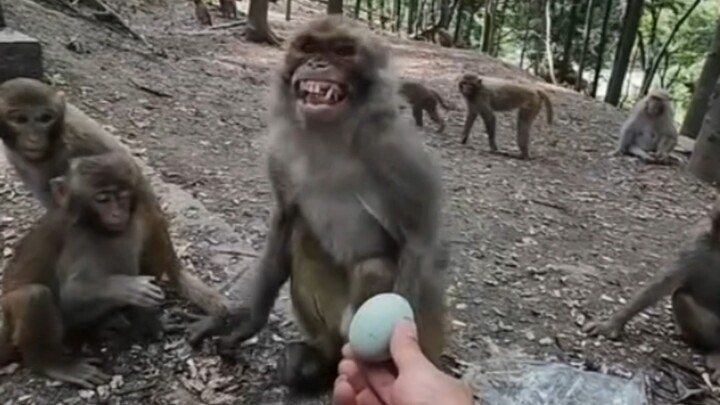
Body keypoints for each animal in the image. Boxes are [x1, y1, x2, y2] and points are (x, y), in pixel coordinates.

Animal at [0, 152, 174, 388]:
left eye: (122, 196)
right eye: (102, 199)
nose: (117, 213)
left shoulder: (141, 217)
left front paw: (146, 319)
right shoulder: (78, 240)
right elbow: (71, 295)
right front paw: (131, 288)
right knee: (34, 295)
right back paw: (53, 364)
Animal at [188, 15, 449, 393]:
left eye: (342, 51)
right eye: (308, 47)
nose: (319, 64)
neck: (330, 135)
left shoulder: (395, 150)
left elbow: (418, 242)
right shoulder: (280, 152)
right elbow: (286, 218)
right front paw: (246, 320)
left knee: (374, 268)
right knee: (303, 237)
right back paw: (320, 360)